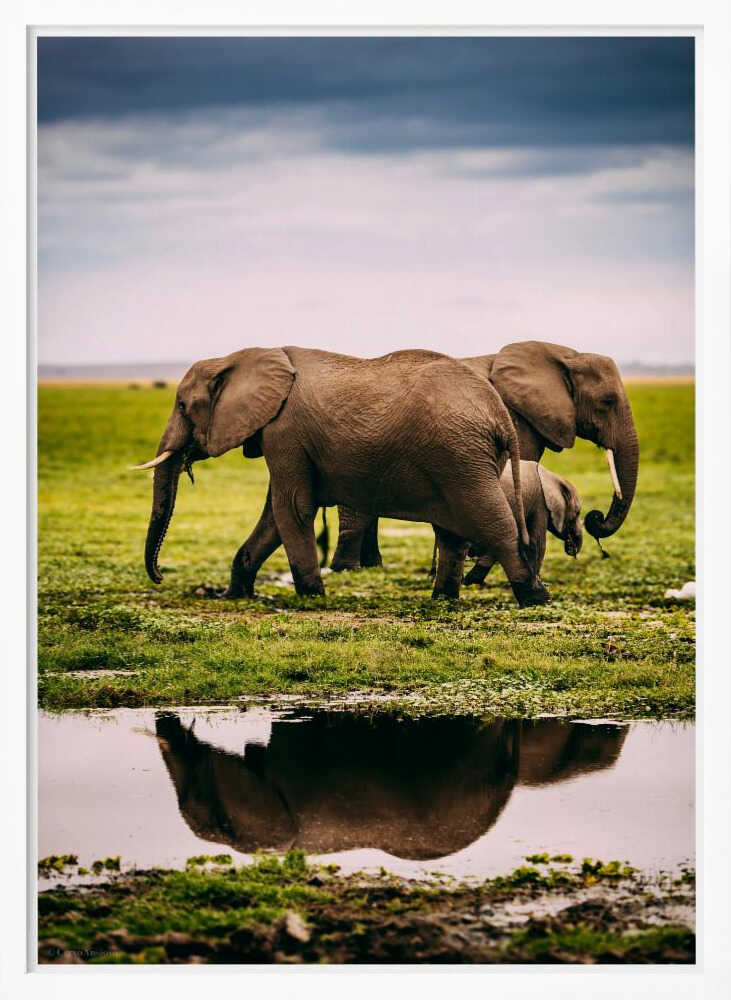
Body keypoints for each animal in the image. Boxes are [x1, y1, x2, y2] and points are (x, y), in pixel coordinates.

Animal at [133, 346, 550, 607]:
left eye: (182, 405)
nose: (160, 577)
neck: (240, 357)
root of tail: (499, 415)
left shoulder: (285, 431)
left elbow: (291, 509)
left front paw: (311, 597)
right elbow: (272, 516)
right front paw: (235, 596)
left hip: (460, 456)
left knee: (493, 522)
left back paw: (535, 598)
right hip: (460, 458)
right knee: (452, 532)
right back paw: (442, 599)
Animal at [328, 341, 639, 573]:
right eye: (607, 402)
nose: (595, 518)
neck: (565, 356)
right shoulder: (515, 418)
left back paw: (371, 566)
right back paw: (348, 569)